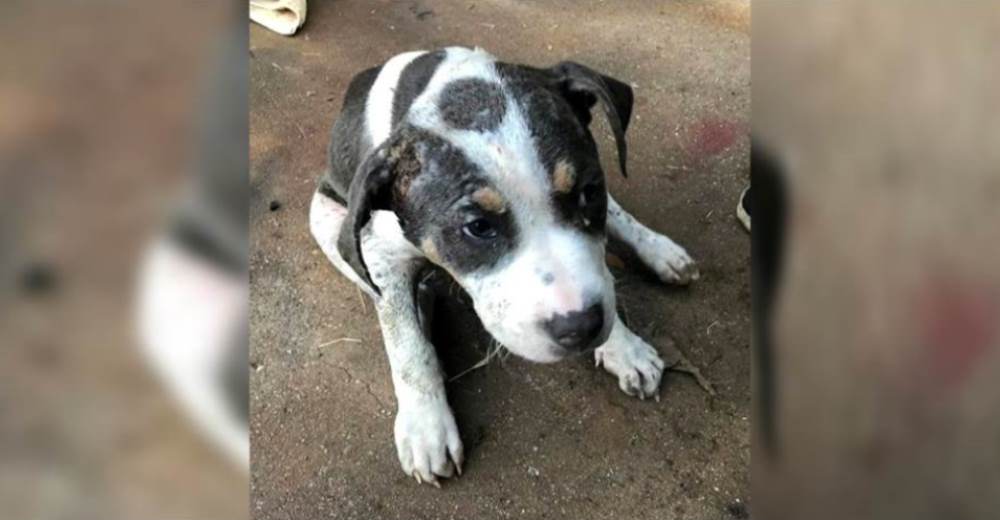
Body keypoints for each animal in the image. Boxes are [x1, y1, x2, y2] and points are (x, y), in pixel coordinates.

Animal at [308, 46, 700, 486]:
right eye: (478, 227)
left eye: (588, 192)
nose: (581, 327)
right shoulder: (381, 254)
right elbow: (407, 347)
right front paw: (426, 427)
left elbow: (601, 270)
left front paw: (624, 345)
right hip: (328, 221)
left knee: (619, 216)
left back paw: (660, 251)